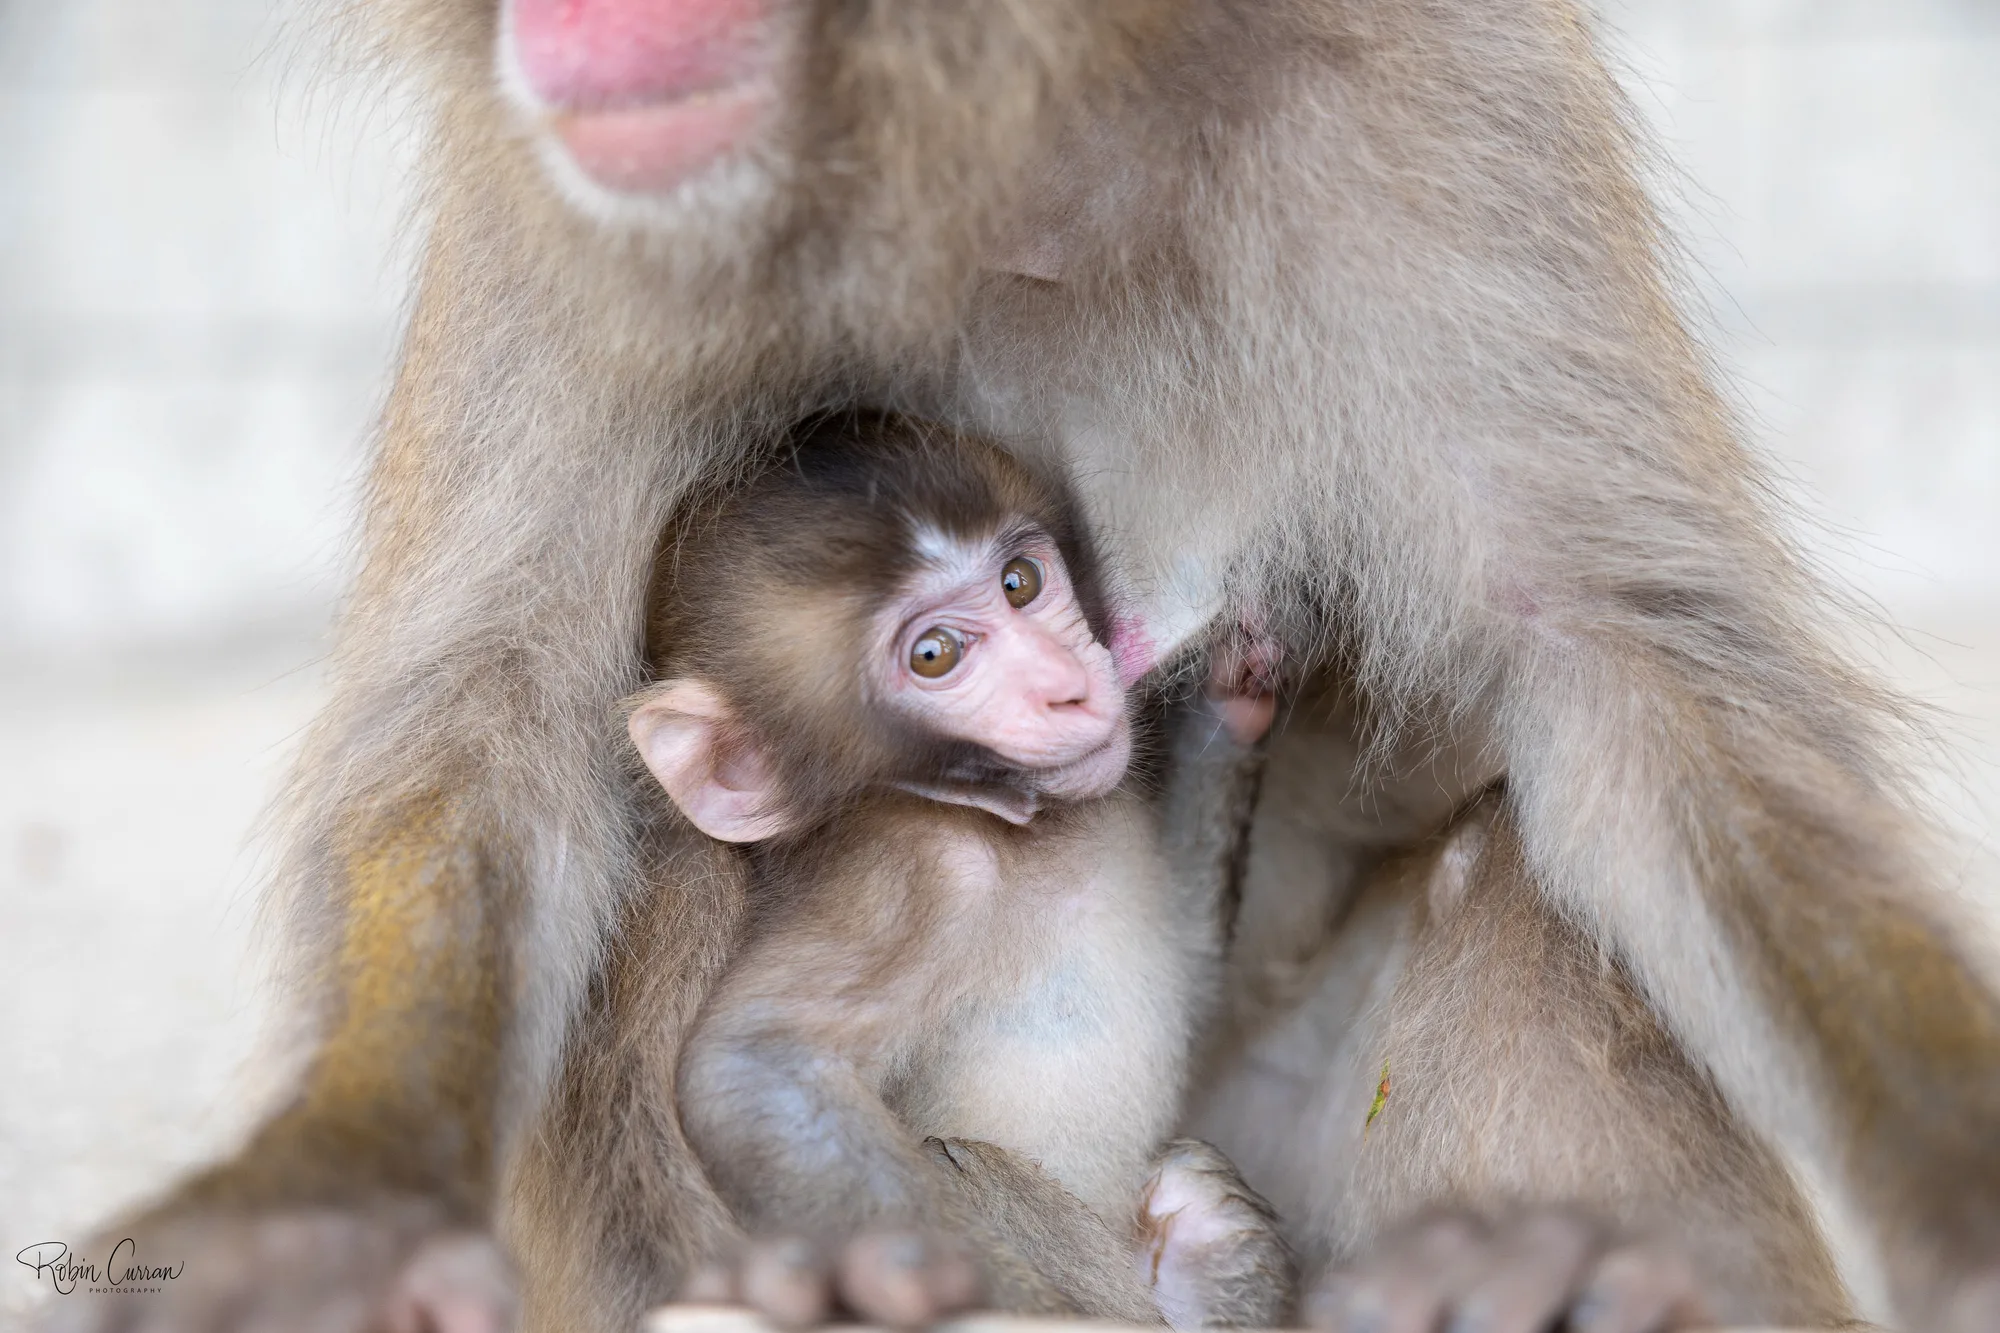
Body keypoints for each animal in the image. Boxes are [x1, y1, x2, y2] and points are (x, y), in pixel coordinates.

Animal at [624, 411, 1292, 1328]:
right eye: (935, 655)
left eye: (1020, 582)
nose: (1067, 685)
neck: (1024, 827)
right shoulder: (922, 871)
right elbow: (757, 1075)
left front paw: (1236, 692)